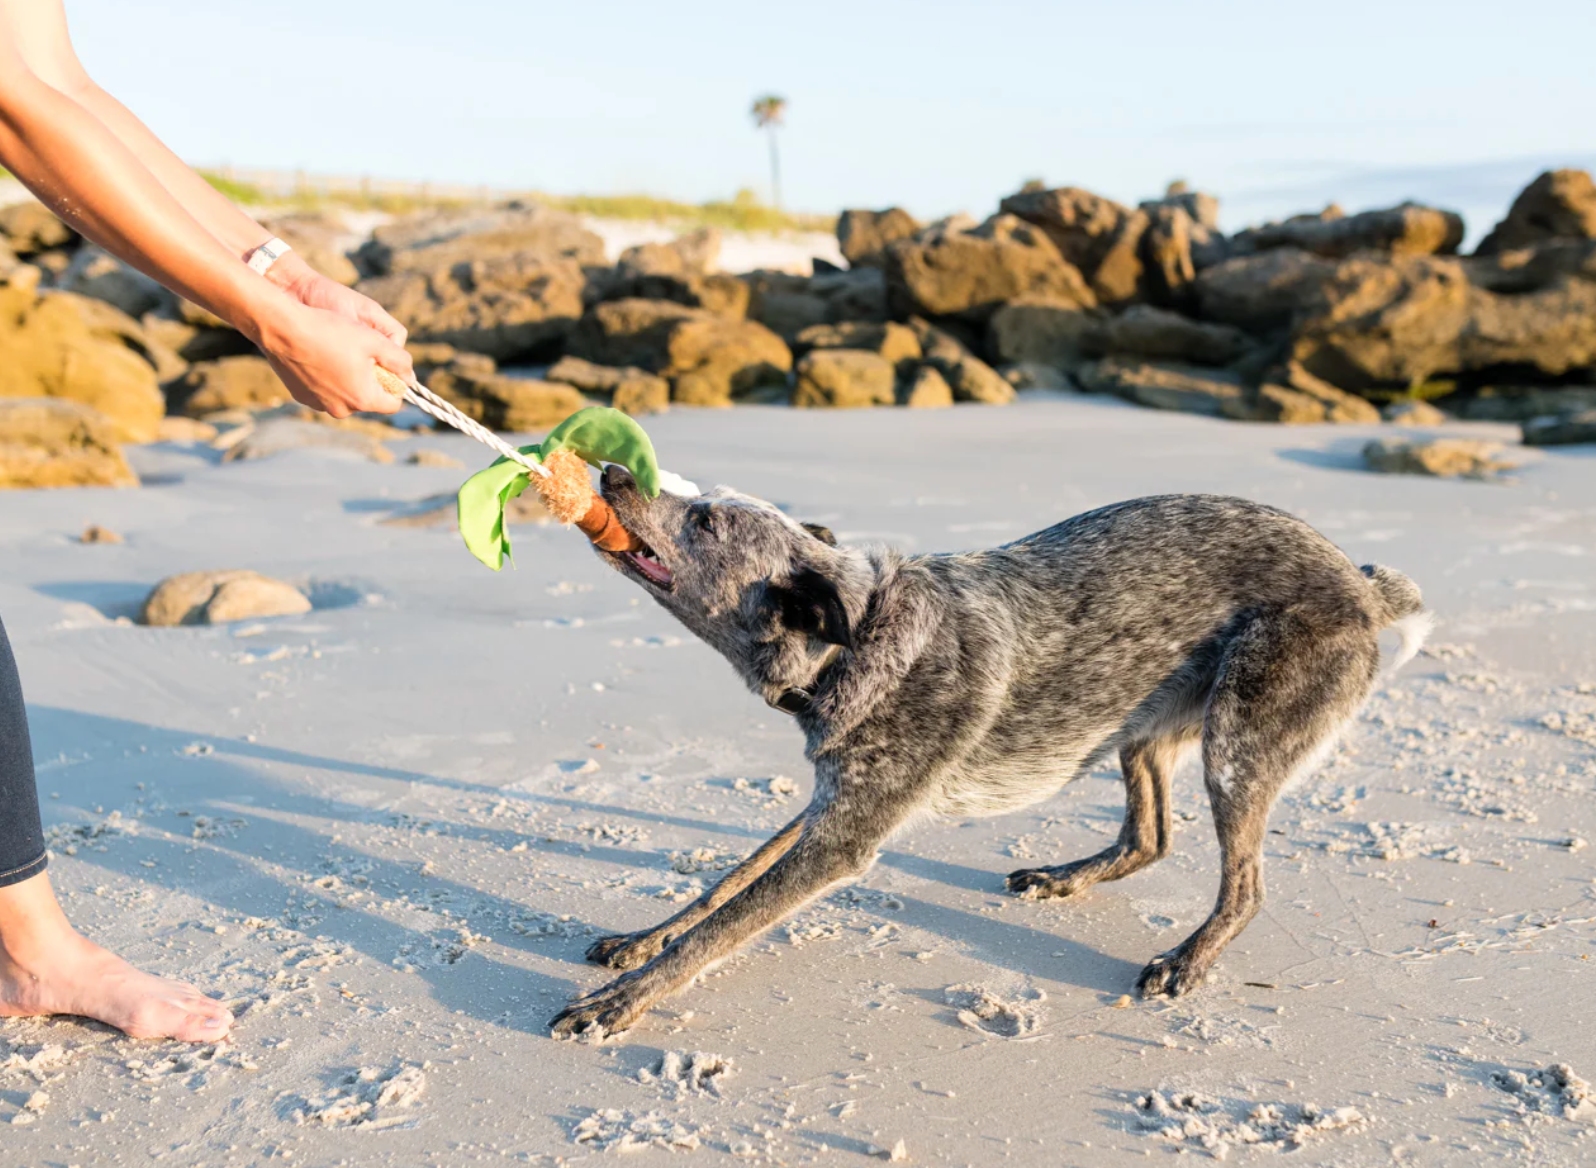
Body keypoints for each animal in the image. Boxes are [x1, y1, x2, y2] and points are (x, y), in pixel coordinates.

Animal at [552, 475, 1436, 1040]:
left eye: (704, 521)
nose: (614, 470)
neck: (858, 637)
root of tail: (1362, 585)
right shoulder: (836, 801)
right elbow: (728, 880)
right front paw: (643, 938)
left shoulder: (844, 838)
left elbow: (726, 925)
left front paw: (617, 1003)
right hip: (1140, 725)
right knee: (1149, 836)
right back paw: (1063, 877)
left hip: (1238, 742)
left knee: (1244, 885)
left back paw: (1185, 961)